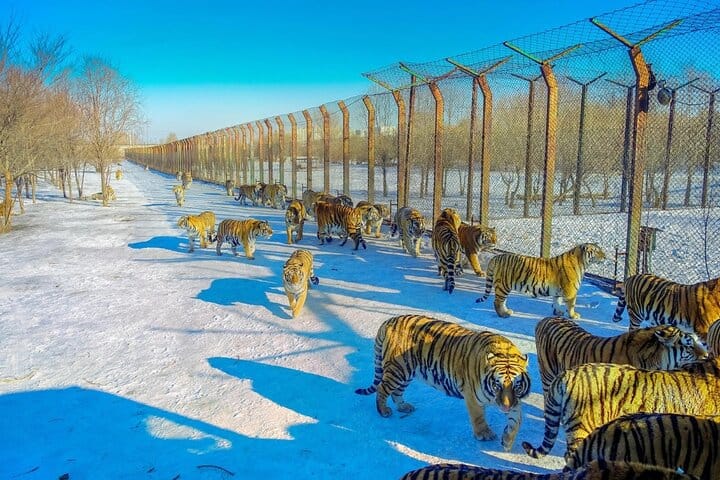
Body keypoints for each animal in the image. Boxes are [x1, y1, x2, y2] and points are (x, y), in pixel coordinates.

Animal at [355, 315, 530, 451]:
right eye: (496, 385)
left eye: (516, 386)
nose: (505, 407)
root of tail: (389, 321)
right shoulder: (472, 397)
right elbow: (479, 417)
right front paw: (484, 434)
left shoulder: (515, 401)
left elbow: (517, 420)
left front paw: (507, 441)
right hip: (398, 370)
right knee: (382, 388)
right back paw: (383, 411)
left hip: (406, 372)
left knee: (396, 392)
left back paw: (404, 407)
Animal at [476, 243, 606, 319]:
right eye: (596, 251)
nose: (605, 256)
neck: (583, 263)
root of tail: (496, 257)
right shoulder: (570, 291)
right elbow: (571, 305)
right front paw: (573, 315)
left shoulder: (558, 291)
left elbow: (557, 302)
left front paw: (558, 313)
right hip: (503, 285)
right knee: (497, 302)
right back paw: (503, 315)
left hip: (504, 286)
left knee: (502, 301)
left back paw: (507, 311)